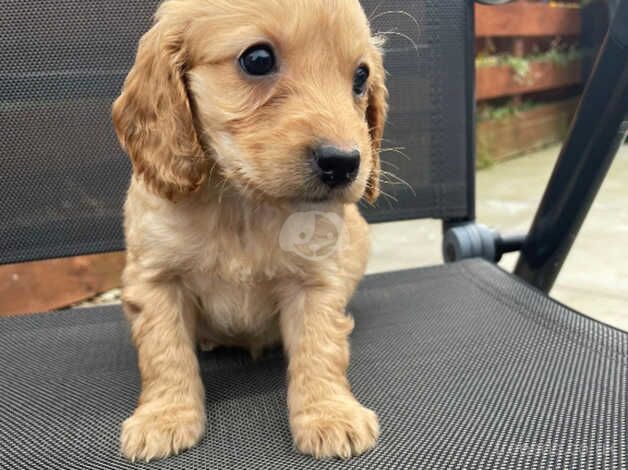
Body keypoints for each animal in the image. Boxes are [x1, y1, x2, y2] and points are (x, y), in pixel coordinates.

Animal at [113, 0, 388, 462]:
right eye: (257, 59)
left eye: (360, 77)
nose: (344, 162)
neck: (243, 204)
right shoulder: (154, 279)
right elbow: (165, 353)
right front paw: (165, 417)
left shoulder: (315, 281)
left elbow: (320, 348)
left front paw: (329, 414)